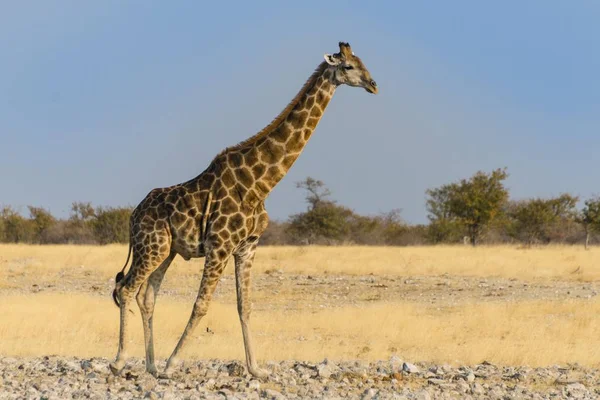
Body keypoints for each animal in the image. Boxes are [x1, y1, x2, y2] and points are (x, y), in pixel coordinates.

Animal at [110, 42, 378, 380]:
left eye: (363, 62)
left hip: (166, 250)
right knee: (126, 289)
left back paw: (151, 365)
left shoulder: (247, 247)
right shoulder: (220, 246)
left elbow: (244, 306)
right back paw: (121, 361)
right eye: (348, 66)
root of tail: (133, 215)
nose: (373, 85)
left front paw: (256, 369)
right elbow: (201, 305)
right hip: (151, 246)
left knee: (146, 296)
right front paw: (173, 363)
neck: (259, 184)